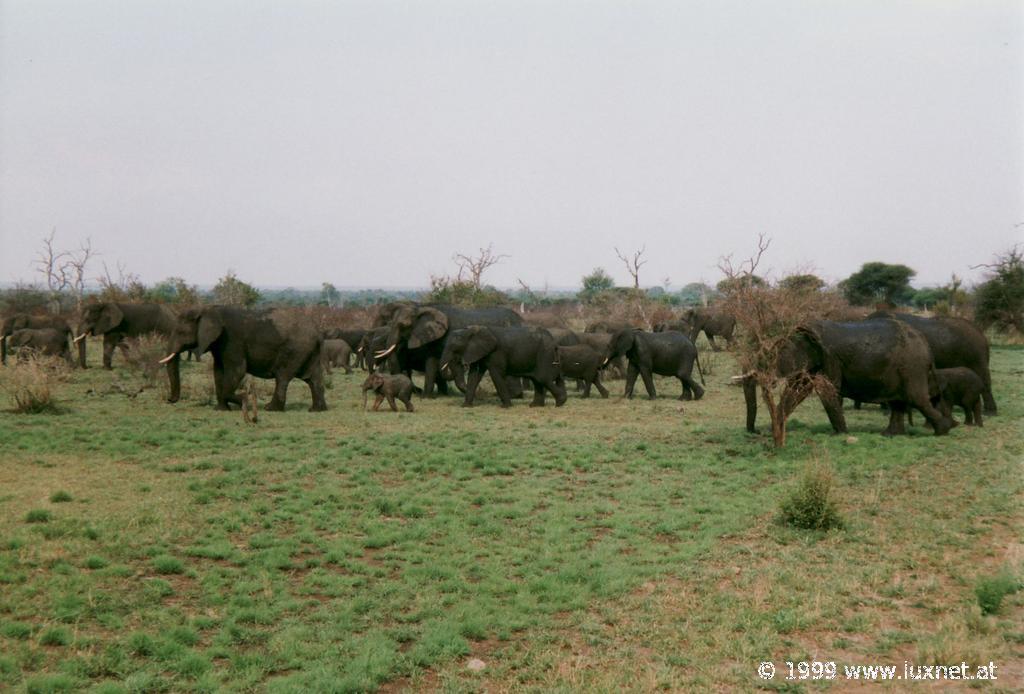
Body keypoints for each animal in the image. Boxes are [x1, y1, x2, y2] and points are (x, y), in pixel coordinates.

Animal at [161, 305, 325, 413]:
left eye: (181, 332)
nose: (169, 400)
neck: (206, 309)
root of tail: (317, 332)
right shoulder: (219, 345)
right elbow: (218, 372)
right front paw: (221, 410)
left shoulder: (232, 341)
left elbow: (237, 371)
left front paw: (244, 401)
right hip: (309, 351)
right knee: (313, 378)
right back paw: (316, 410)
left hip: (294, 350)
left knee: (283, 377)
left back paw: (271, 409)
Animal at [440, 325, 569, 407]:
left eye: (454, 347)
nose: (460, 362)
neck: (474, 329)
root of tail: (554, 341)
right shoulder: (480, 352)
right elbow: (474, 375)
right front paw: (465, 406)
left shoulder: (496, 352)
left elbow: (496, 374)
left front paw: (506, 407)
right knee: (537, 379)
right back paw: (535, 406)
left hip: (545, 353)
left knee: (542, 378)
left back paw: (560, 403)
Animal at [745, 319, 950, 438]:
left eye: (769, 357)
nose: (755, 431)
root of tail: (927, 348)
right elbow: (798, 391)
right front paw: (773, 427)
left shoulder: (830, 357)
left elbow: (827, 391)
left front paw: (840, 435)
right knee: (899, 402)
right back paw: (890, 435)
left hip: (912, 367)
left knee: (916, 399)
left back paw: (943, 431)